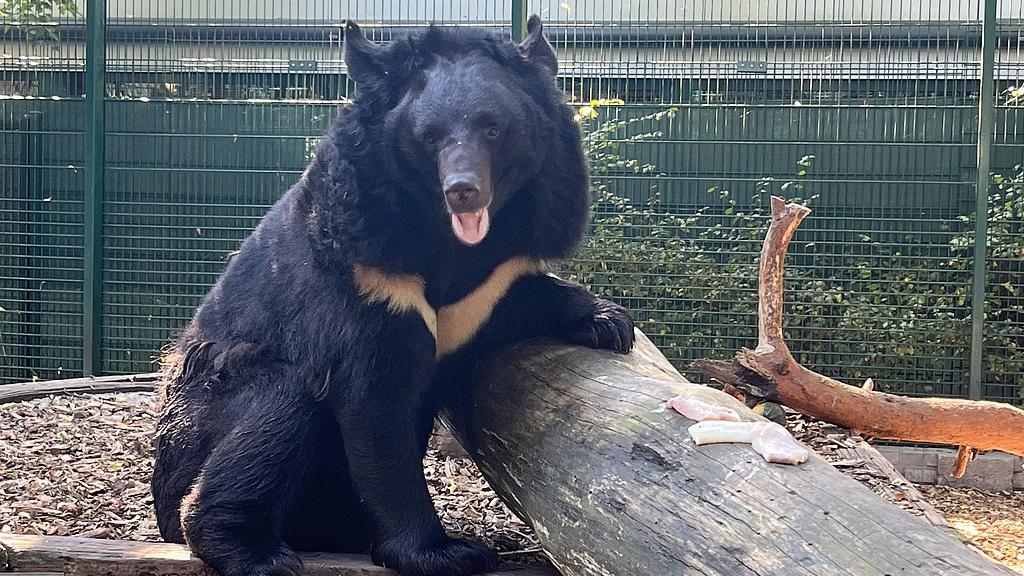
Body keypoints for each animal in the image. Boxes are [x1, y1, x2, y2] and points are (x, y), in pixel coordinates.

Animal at [151, 16, 634, 576]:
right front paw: (442, 552)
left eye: (493, 129)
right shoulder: (366, 275)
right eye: (429, 138)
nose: (463, 190)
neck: (448, 239)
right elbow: (377, 408)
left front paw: (609, 322)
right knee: (278, 404)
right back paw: (255, 553)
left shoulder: (493, 276)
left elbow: (519, 297)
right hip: (199, 413)